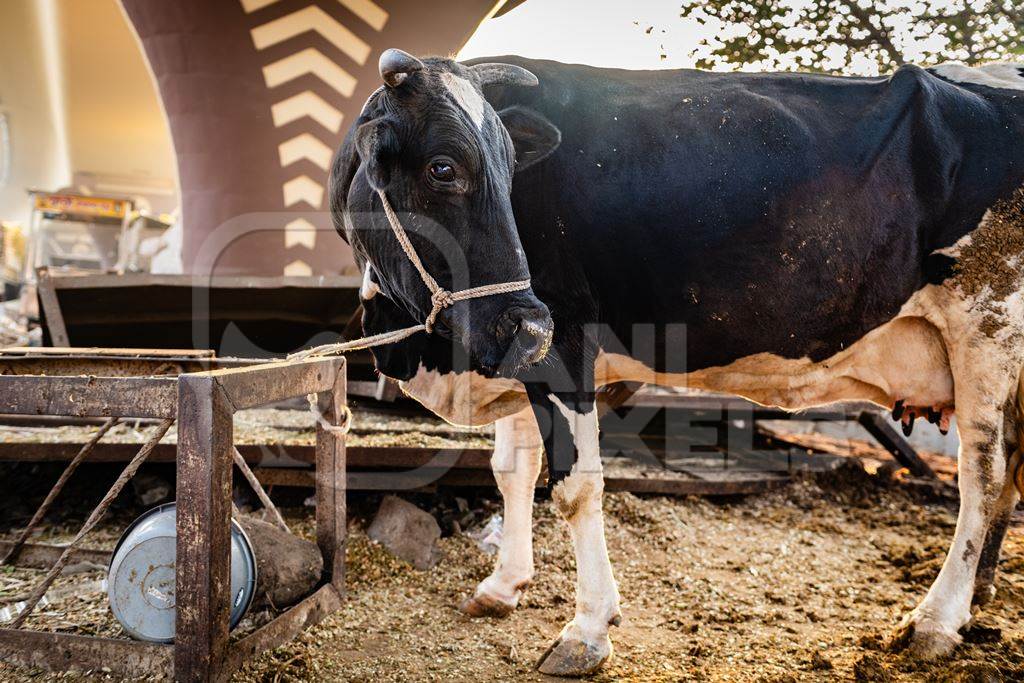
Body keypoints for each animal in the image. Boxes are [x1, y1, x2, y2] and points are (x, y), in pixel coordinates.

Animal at [331, 50, 1024, 675]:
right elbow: (512, 471)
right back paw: (982, 591)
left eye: (508, 172)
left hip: (986, 327)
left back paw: (935, 621)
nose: (531, 323)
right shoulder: (513, 346)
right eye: (443, 167)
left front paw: (586, 631)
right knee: (1012, 463)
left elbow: (576, 487)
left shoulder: (564, 338)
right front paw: (502, 587)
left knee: (984, 475)